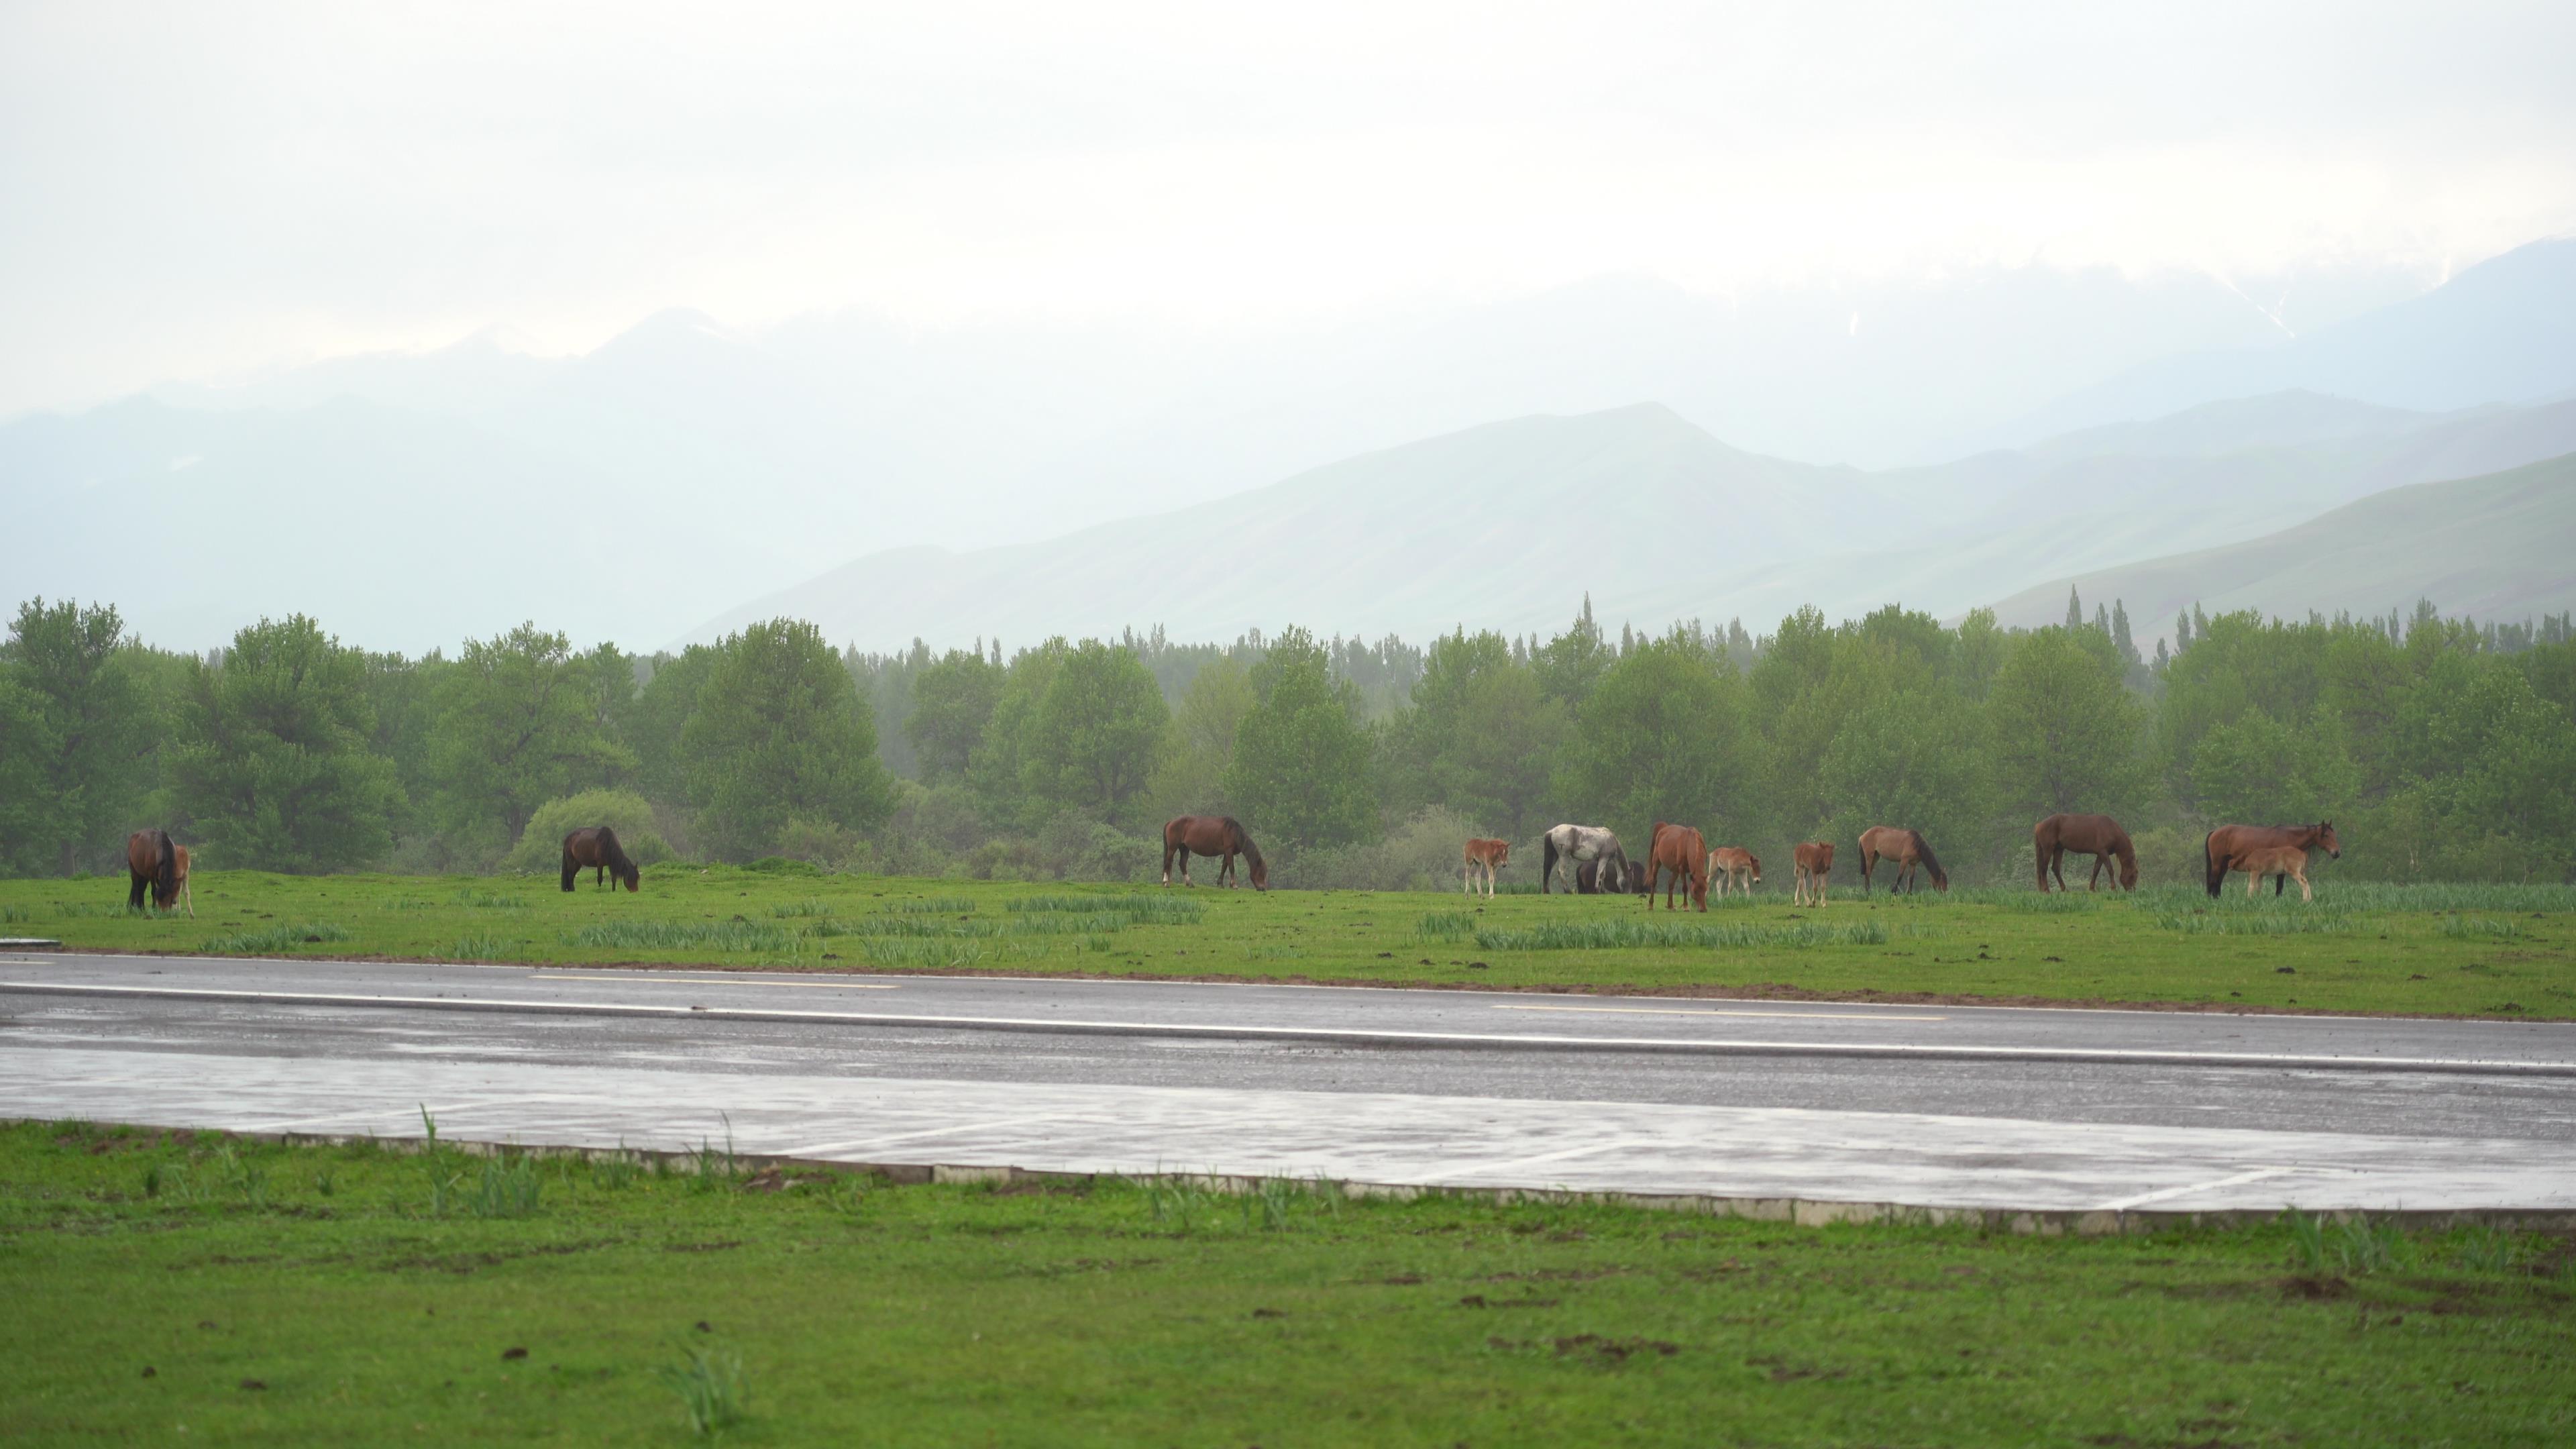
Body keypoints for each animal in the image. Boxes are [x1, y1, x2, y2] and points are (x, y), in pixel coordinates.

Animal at [1169, 814, 1267, 892]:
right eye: (1261, 872)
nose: (1263, 889)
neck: (1233, 831)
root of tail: (1171, 823)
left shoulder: (1227, 853)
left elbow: (1224, 867)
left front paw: (1221, 884)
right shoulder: (1229, 851)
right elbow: (1232, 867)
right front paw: (1234, 885)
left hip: (1184, 848)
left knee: (1182, 864)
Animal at [1648, 820, 1710, 907]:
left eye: (1705, 890)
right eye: (1695, 891)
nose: (1703, 909)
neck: (1688, 843)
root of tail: (1664, 828)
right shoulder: (1682, 869)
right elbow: (1685, 888)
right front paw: (1686, 906)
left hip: (1675, 870)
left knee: (1671, 883)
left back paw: (1671, 906)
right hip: (1656, 863)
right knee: (1654, 882)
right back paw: (1651, 905)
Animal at [1854, 824, 1947, 892]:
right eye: (1942, 881)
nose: (1944, 894)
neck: (1916, 844)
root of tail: (1863, 836)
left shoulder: (1913, 864)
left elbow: (1911, 879)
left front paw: (1909, 894)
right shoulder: (1904, 860)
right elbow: (1900, 876)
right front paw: (1894, 892)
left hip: (1876, 857)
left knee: (1869, 873)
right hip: (1869, 857)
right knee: (1867, 873)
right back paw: (1869, 892)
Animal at [2029, 814, 2133, 892]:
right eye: (2134, 873)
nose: (2132, 891)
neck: (2110, 828)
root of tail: (2039, 825)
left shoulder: (2100, 854)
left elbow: (2096, 870)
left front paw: (2092, 889)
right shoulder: (2103, 852)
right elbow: (2110, 869)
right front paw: (2113, 888)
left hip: (2059, 849)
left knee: (2055, 868)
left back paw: (2064, 889)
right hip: (2048, 849)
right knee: (2044, 868)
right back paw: (2046, 890)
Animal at [2194, 820, 2339, 897]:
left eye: (2334, 835)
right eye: (2326, 835)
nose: (2337, 853)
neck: (2290, 837)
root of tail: (2215, 832)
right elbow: (2279, 887)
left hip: (2224, 865)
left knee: (2218, 882)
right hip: (2217, 864)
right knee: (2213, 881)